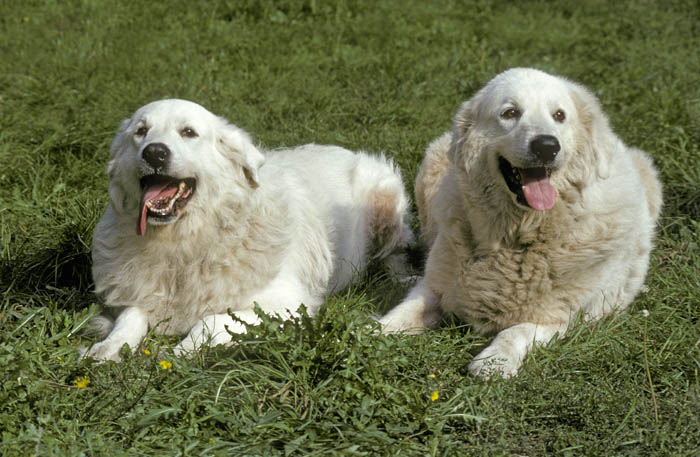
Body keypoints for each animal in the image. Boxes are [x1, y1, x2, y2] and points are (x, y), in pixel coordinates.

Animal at [82, 99, 412, 360]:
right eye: (141, 131)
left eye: (188, 132)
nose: (154, 153)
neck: (187, 242)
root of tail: (344, 150)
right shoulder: (138, 291)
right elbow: (130, 316)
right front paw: (106, 348)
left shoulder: (289, 305)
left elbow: (210, 321)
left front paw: (178, 352)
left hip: (385, 199)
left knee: (397, 251)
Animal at [380, 67, 660, 374]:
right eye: (510, 113)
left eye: (559, 115)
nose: (547, 146)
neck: (517, 236)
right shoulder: (435, 287)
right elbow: (404, 311)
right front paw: (370, 332)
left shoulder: (557, 318)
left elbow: (516, 332)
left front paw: (494, 362)